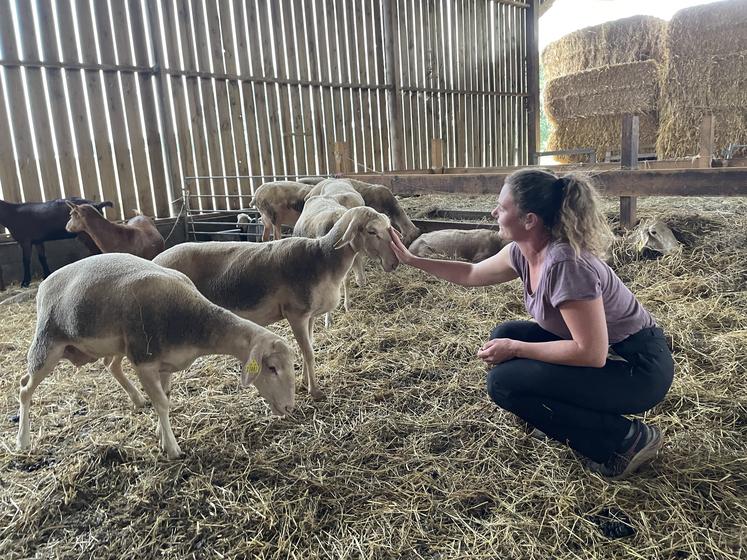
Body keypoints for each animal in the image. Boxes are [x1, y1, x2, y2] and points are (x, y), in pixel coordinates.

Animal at [15, 254, 296, 460]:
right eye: (272, 368)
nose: (289, 408)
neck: (195, 321)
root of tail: (44, 284)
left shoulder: (166, 365)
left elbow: (166, 397)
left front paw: (162, 434)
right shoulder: (145, 361)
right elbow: (162, 403)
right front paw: (171, 448)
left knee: (110, 365)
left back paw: (137, 399)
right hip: (47, 344)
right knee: (24, 389)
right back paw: (23, 441)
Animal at [155, 205, 400, 398]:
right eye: (371, 231)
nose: (394, 263)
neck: (322, 259)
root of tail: (156, 259)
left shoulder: (309, 315)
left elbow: (308, 348)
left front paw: (305, 382)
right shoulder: (296, 314)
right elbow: (309, 352)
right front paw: (315, 391)